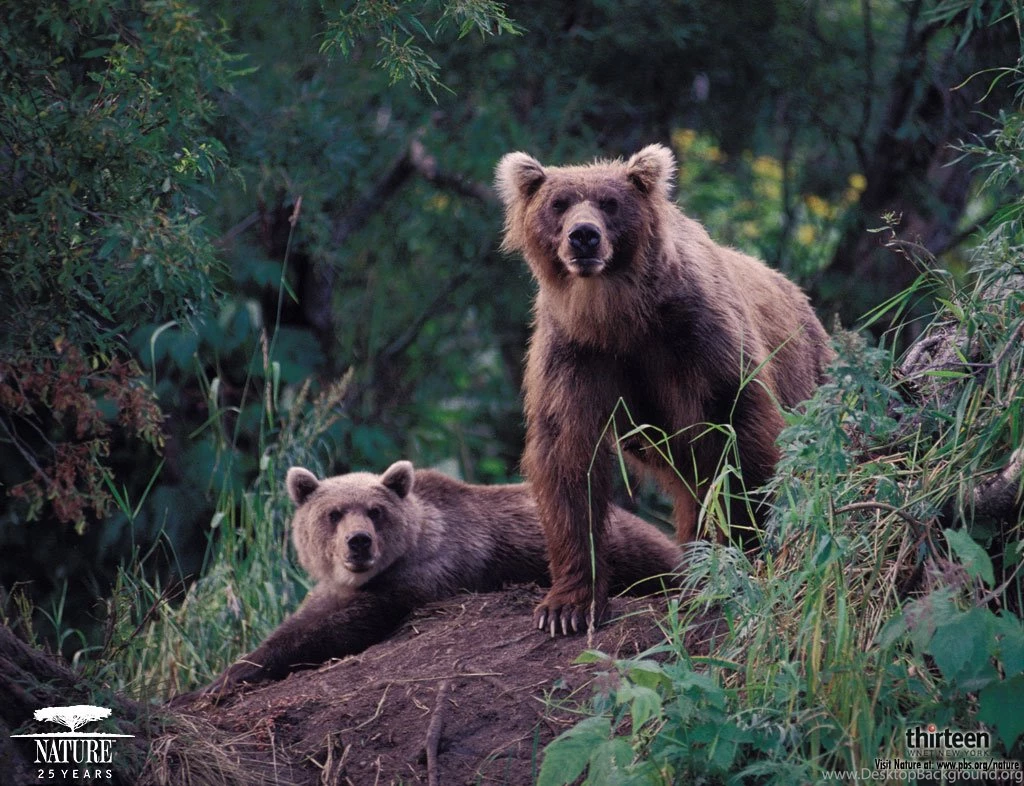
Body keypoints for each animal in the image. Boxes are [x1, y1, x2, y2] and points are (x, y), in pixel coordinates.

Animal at [181, 460, 682, 699]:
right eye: (334, 513)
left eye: (375, 511)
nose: (358, 543)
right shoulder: (336, 587)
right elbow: (306, 619)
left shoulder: (425, 575)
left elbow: (336, 626)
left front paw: (225, 679)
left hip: (628, 547)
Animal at [495, 143, 833, 636]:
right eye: (558, 203)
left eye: (610, 203)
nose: (583, 236)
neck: (618, 316)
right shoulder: (575, 353)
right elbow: (568, 456)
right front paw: (567, 607)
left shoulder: (696, 337)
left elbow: (738, 428)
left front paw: (745, 551)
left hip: (807, 373)